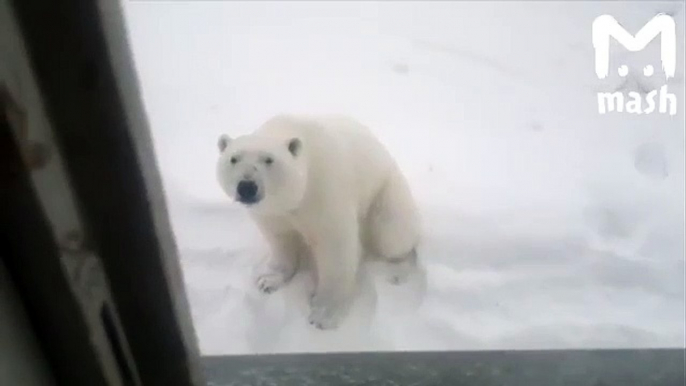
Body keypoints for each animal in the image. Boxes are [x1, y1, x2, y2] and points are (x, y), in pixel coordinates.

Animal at [216, 114, 420, 328]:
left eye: (269, 159)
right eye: (233, 158)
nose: (246, 187)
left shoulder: (323, 191)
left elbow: (334, 247)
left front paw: (324, 313)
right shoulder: (272, 212)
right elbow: (279, 238)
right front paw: (268, 280)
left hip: (386, 194)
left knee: (393, 235)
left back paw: (398, 272)